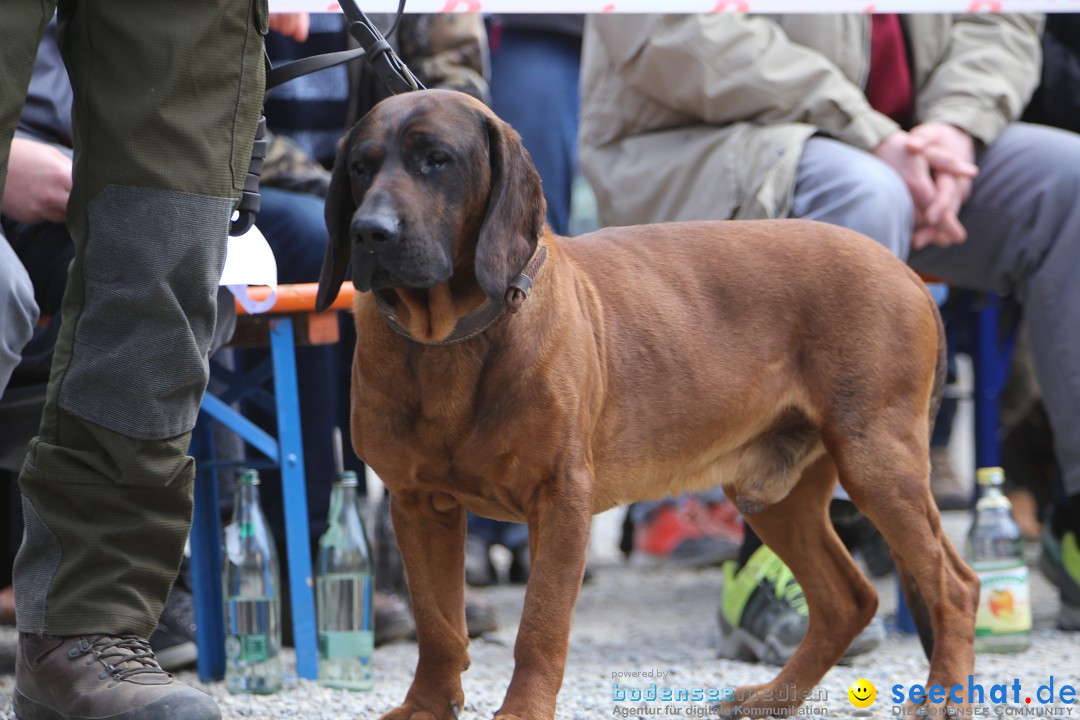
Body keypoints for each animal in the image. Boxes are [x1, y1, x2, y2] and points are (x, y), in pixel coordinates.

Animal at [315, 90, 984, 720]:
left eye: (437, 161)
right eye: (359, 166)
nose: (369, 232)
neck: (448, 341)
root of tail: (906, 271)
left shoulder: (560, 501)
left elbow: (540, 626)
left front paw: (522, 710)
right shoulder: (417, 503)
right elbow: (436, 625)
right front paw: (427, 706)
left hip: (877, 464)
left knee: (955, 585)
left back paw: (944, 695)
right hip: (776, 495)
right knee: (849, 599)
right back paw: (775, 697)